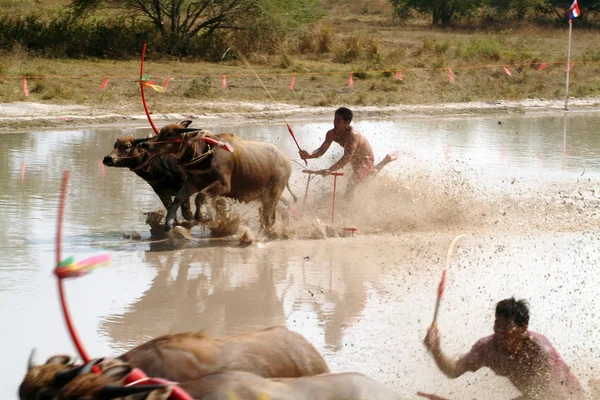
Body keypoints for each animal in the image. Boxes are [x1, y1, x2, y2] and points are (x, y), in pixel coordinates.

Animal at [138, 119, 292, 233]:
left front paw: (202, 217)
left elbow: (200, 196)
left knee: (268, 217)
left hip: (274, 193)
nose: (145, 144)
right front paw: (169, 223)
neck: (205, 153)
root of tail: (286, 161)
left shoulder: (223, 185)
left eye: (169, 134)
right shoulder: (194, 181)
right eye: (162, 131)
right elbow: (178, 199)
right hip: (265, 196)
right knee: (271, 216)